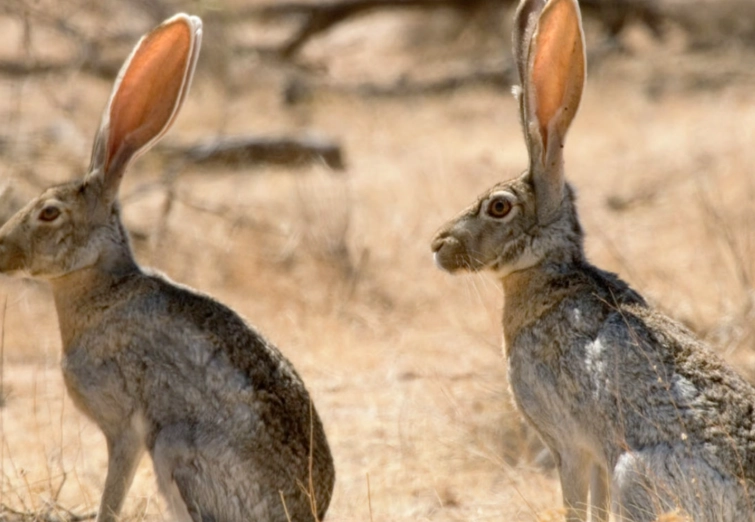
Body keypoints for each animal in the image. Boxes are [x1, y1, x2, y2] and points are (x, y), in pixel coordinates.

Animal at [0, 14, 335, 522]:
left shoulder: (124, 426)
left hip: (176, 448)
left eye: (49, 213)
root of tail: (306, 513)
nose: (0, 248)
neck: (103, 283)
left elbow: (112, 494)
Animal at [431, 0, 755, 521]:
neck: (550, 276)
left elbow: (575, 504)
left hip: (636, 479)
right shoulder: (596, 457)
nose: (437, 246)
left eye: (498, 206)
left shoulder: (570, 446)